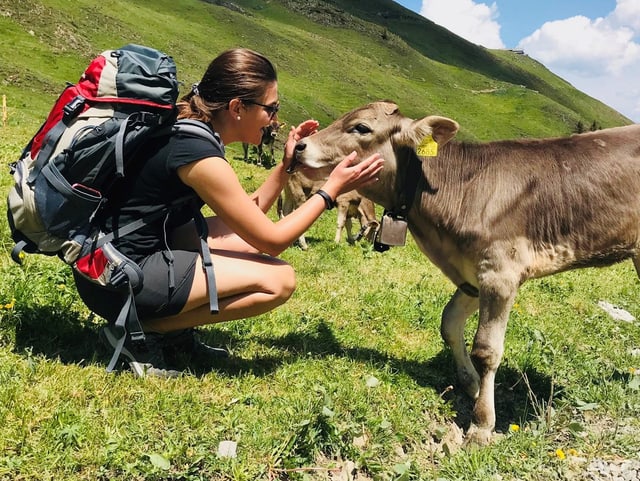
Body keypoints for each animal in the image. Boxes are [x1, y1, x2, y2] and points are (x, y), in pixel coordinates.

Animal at [292, 99, 640, 444]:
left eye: (361, 127)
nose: (298, 146)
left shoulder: (499, 274)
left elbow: (486, 350)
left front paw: (482, 425)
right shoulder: (473, 276)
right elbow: (449, 323)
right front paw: (471, 385)